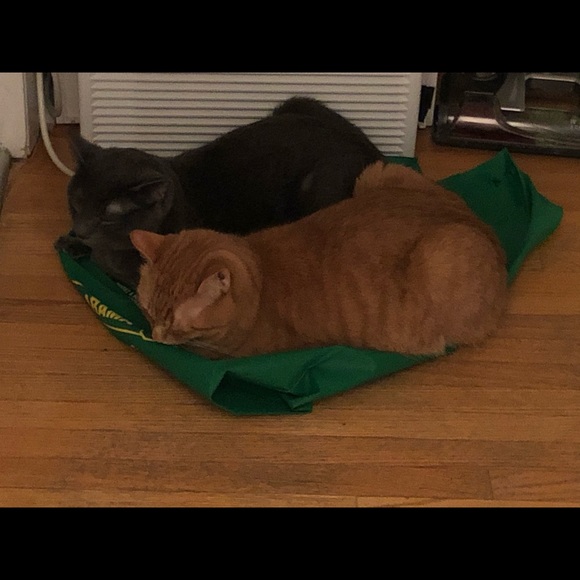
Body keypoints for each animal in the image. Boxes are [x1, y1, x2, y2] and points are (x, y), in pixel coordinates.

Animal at [129, 162, 509, 360]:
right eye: (147, 310)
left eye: (174, 321)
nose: (156, 336)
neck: (260, 277)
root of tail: (483, 227)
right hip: (376, 172)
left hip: (442, 255)